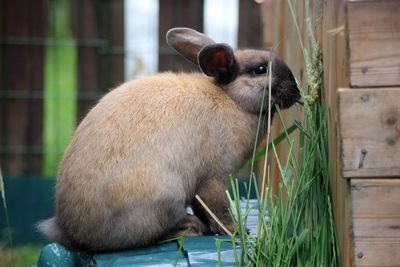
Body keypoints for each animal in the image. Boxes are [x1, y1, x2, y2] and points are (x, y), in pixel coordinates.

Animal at [38, 27, 300, 253]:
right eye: (260, 69)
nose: (296, 91)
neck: (232, 99)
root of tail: (71, 230)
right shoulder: (214, 179)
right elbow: (217, 208)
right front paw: (237, 231)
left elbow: (203, 207)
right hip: (163, 196)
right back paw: (190, 227)